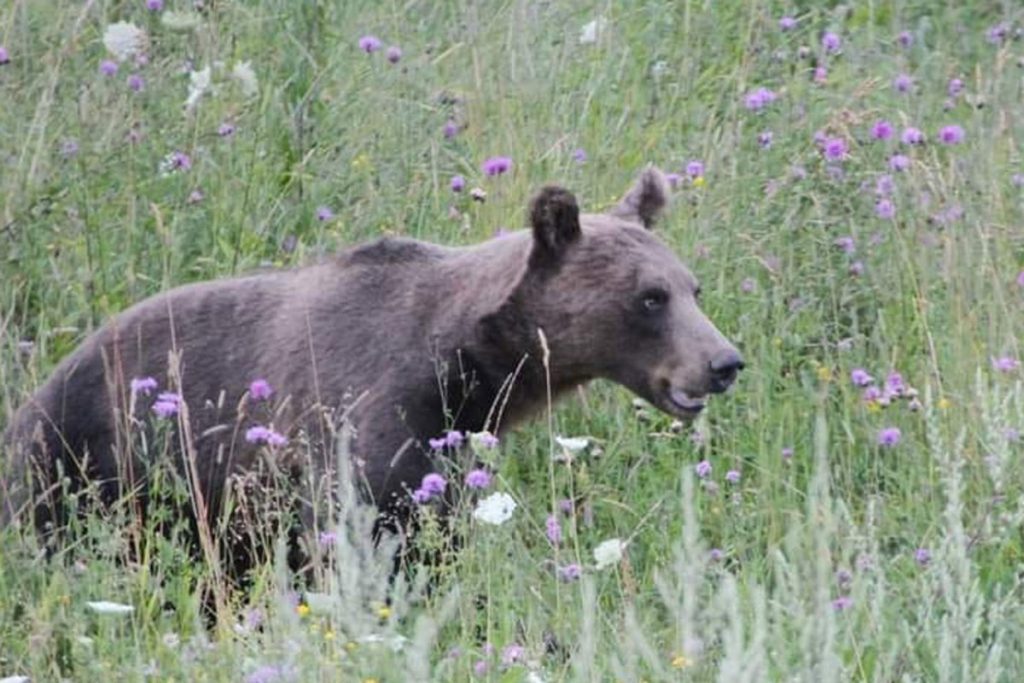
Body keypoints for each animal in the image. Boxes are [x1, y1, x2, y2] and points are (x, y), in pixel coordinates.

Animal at [4, 166, 749, 577]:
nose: (723, 362)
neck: (465, 367)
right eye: (649, 298)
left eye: (693, 288)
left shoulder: (448, 443)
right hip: (83, 463)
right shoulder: (363, 415)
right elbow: (364, 532)